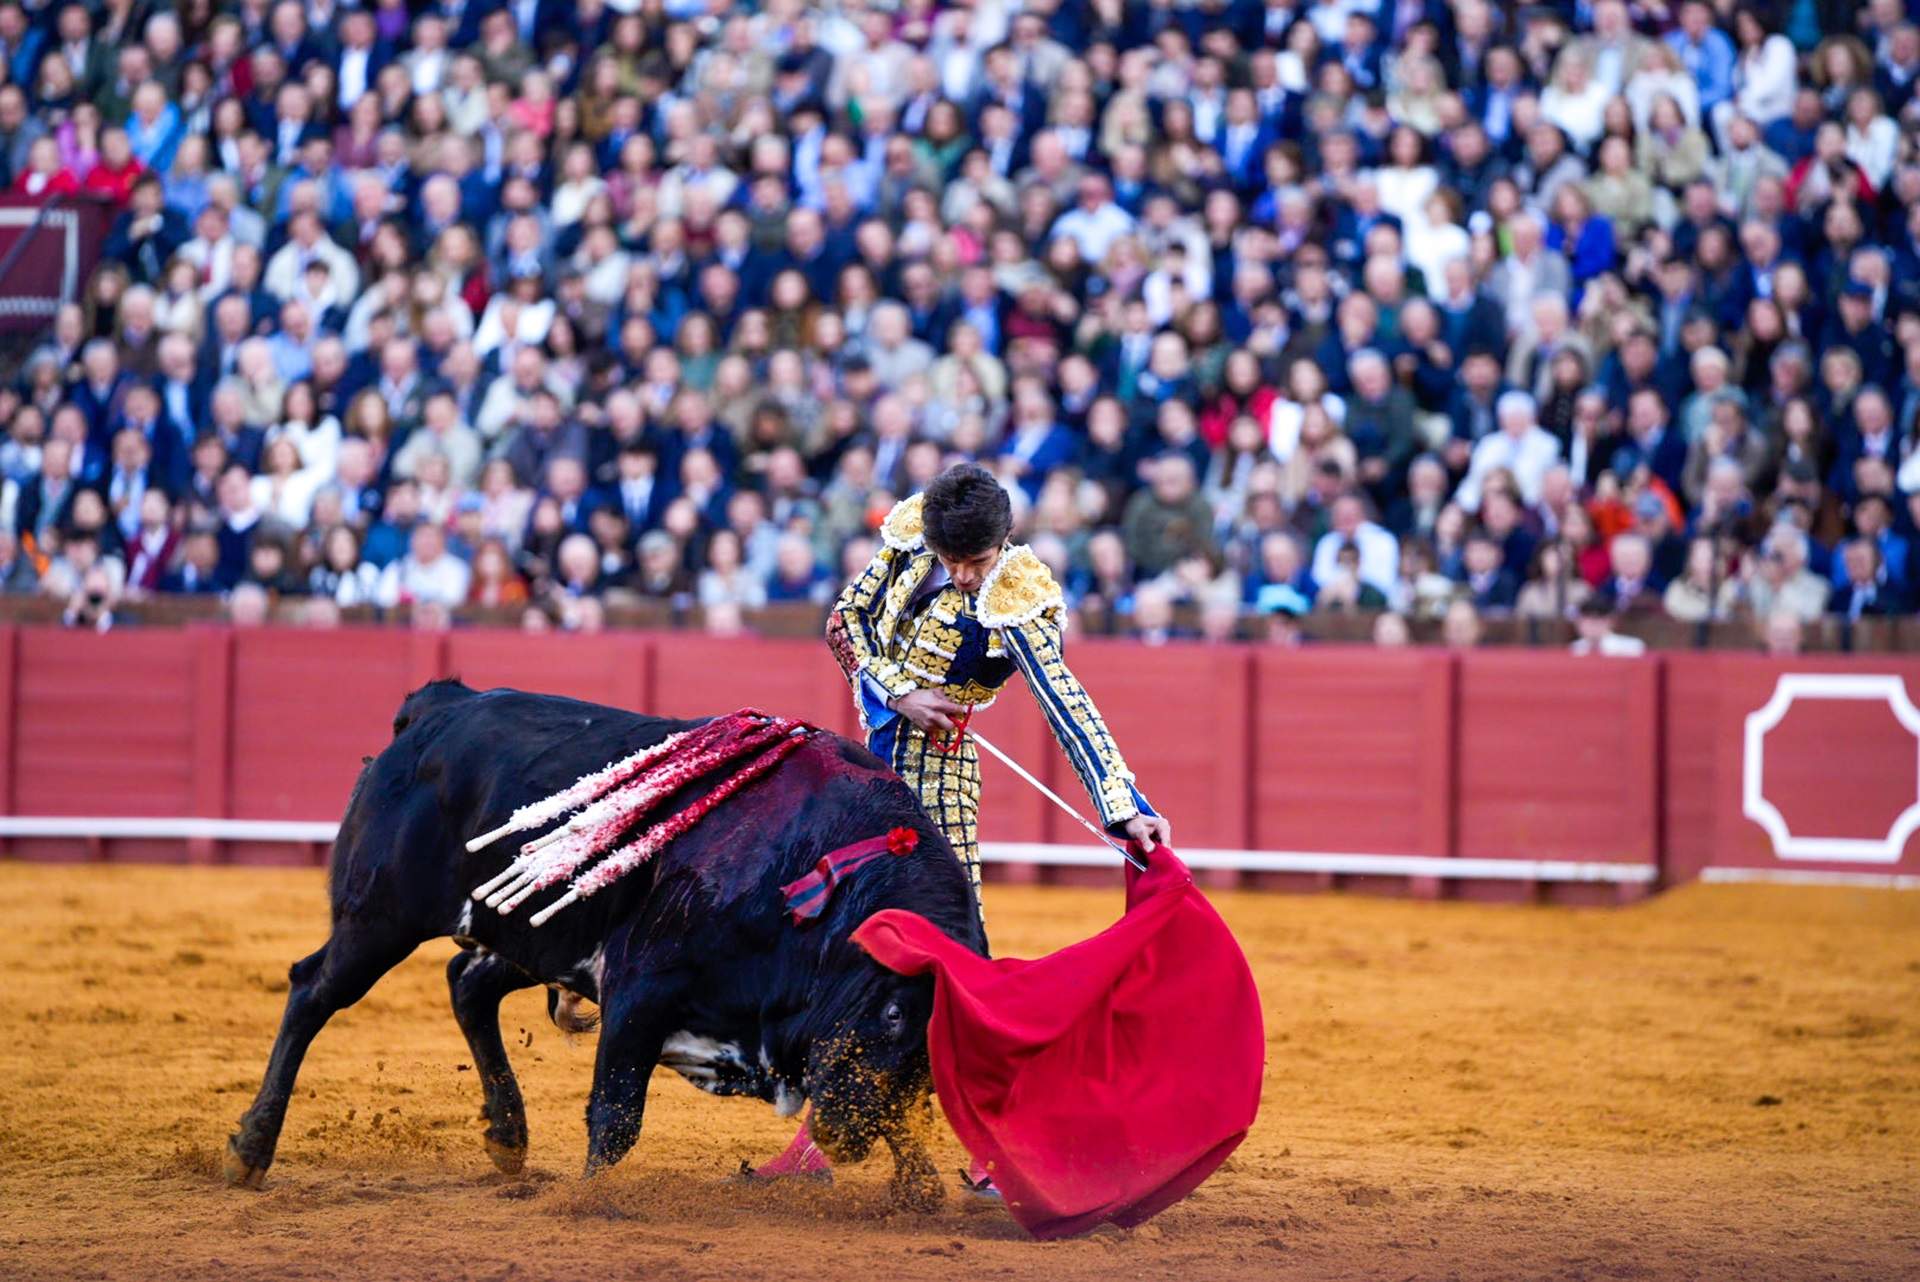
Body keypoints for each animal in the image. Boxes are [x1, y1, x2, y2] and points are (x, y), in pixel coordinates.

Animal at [224, 679, 990, 1205]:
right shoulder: (640, 988)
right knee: (315, 991)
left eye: (933, 1043)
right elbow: (616, 1116)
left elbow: (905, 1122)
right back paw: (251, 1150)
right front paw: (590, 1201)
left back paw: (508, 1137)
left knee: (467, 984)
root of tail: (439, 708)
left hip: (531, 928)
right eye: (891, 1011)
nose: (844, 1139)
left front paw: (921, 1192)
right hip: (380, 916)